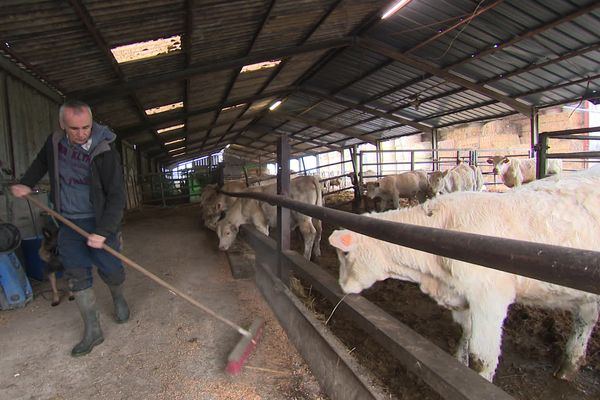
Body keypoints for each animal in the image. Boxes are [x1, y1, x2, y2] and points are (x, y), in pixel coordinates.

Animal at [328, 166, 600, 384]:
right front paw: (459, 365)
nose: (342, 286)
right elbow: (465, 338)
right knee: (585, 320)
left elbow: (482, 358)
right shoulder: (463, 298)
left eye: (345, 253)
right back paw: (568, 366)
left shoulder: (490, 300)